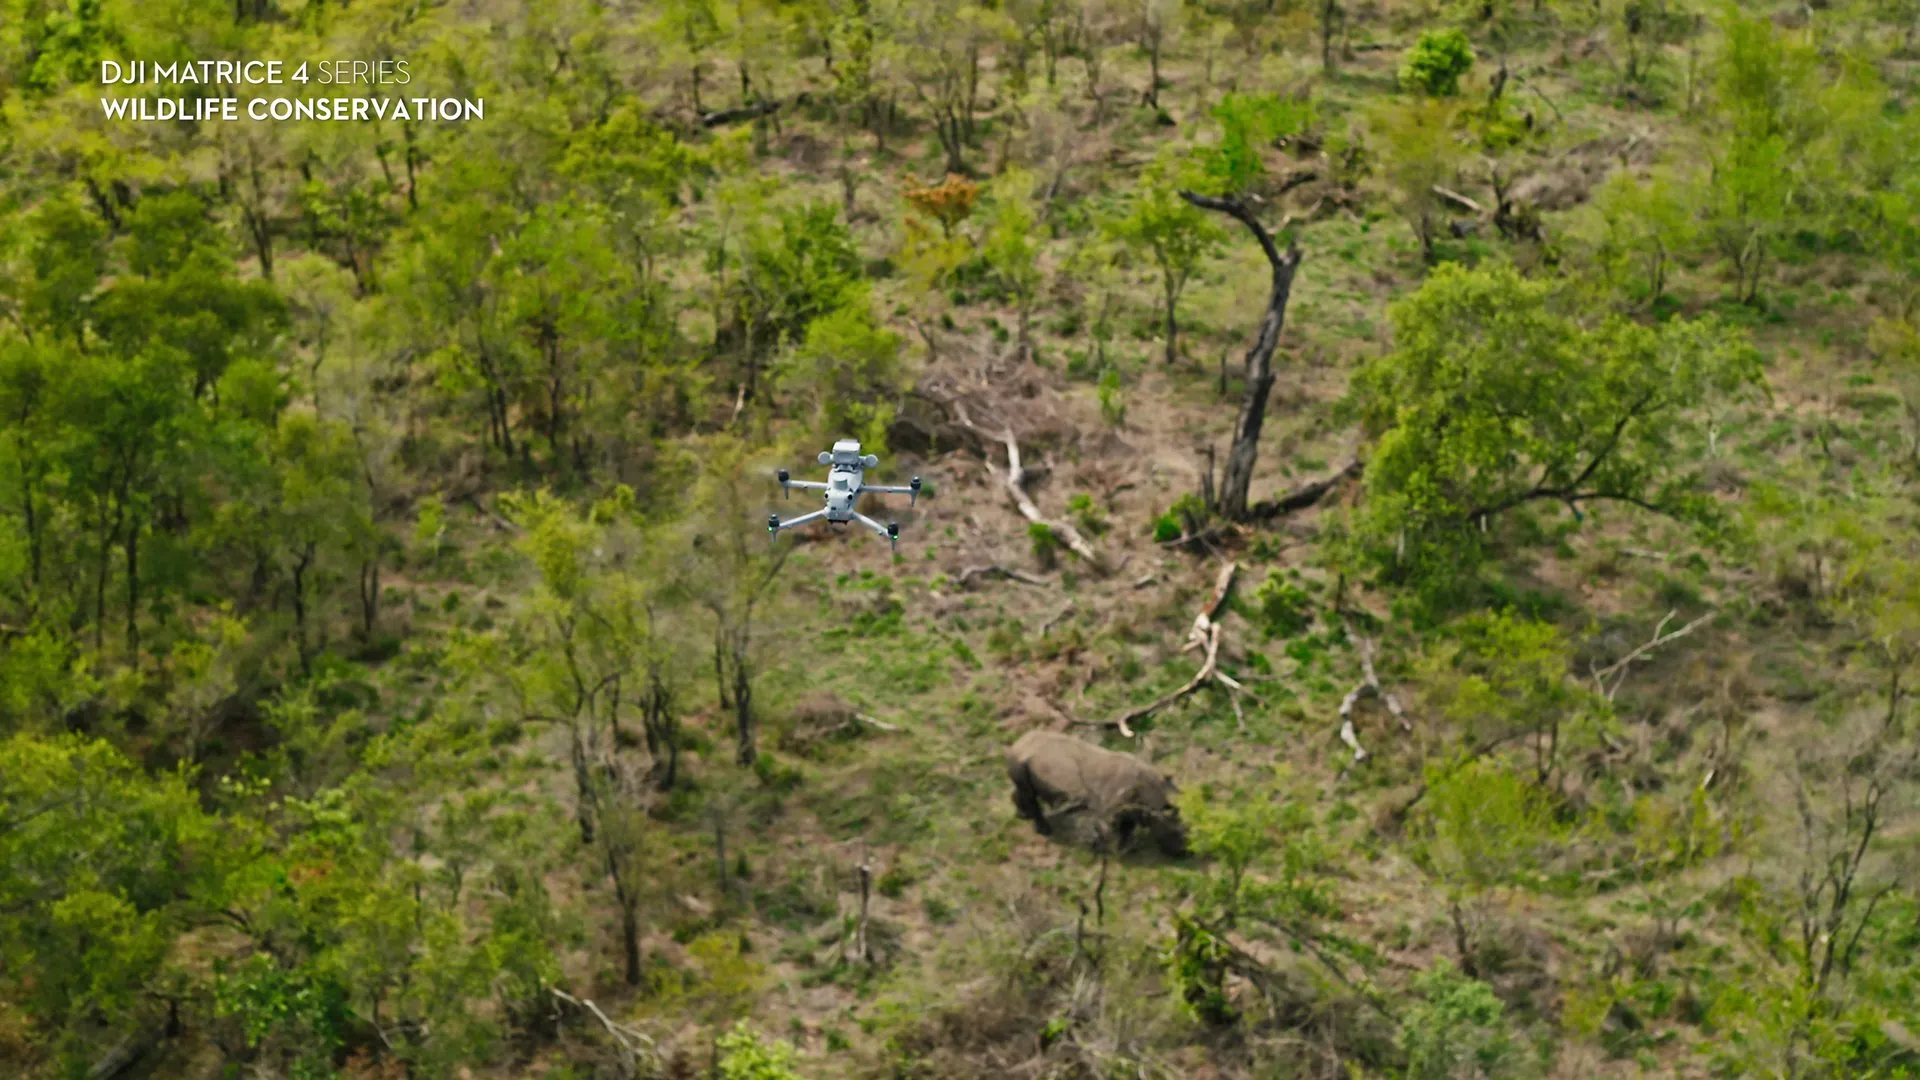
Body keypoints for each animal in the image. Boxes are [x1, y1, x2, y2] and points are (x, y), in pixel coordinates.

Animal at [1004, 730, 1188, 856]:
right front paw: (1106, 850)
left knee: (1025, 790)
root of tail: (1016, 743)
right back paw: (1045, 830)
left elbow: (1127, 827)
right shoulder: (1110, 808)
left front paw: (1126, 849)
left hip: (1026, 760)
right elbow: (1110, 828)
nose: (1184, 852)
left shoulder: (1130, 808)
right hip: (1019, 759)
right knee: (1028, 792)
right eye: (1174, 833)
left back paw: (1023, 815)